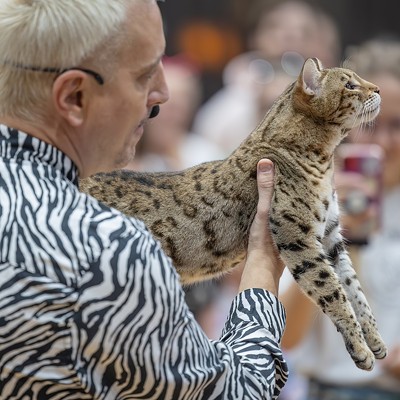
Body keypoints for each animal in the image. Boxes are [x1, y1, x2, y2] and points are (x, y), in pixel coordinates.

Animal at [82, 57, 388, 370]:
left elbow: (354, 290)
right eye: (350, 85)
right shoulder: (299, 241)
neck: (322, 162)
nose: (378, 89)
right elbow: (333, 293)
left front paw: (374, 339)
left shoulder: (331, 238)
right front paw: (359, 347)